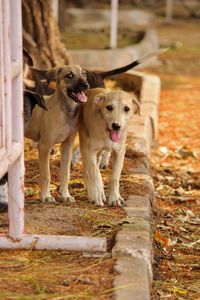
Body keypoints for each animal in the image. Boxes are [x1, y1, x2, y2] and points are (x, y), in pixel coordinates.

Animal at [25, 64, 89, 203]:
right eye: (69, 75)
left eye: (84, 74)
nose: (86, 85)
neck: (64, 111)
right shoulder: (45, 146)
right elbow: (46, 175)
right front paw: (46, 196)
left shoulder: (67, 146)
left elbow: (65, 174)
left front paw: (65, 195)